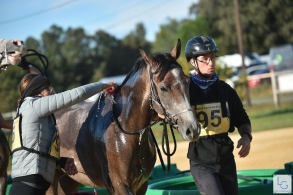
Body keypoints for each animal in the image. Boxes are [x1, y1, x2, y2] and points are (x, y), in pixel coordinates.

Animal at [48, 38, 200, 194]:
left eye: (187, 81)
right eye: (163, 88)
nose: (192, 129)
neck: (124, 130)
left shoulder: (141, 185)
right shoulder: (119, 185)